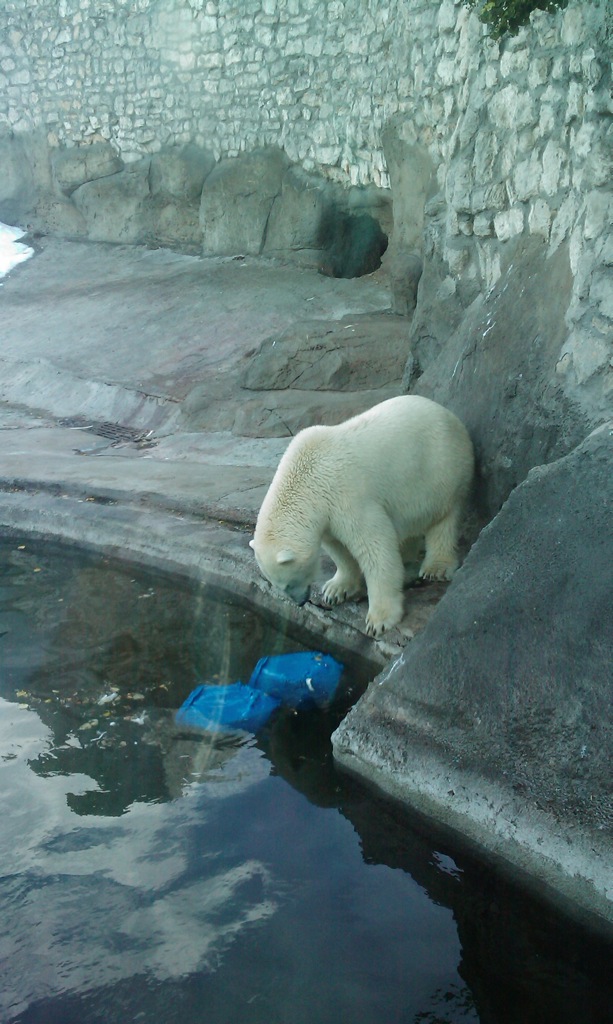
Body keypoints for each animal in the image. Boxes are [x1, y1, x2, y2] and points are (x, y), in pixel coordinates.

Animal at [249, 395, 474, 634]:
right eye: (278, 585)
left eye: (288, 583)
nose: (300, 601)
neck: (307, 478)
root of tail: (448, 414)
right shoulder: (327, 514)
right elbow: (338, 547)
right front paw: (335, 590)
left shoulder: (346, 496)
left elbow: (375, 545)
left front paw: (379, 620)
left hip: (439, 469)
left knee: (443, 517)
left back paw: (436, 567)